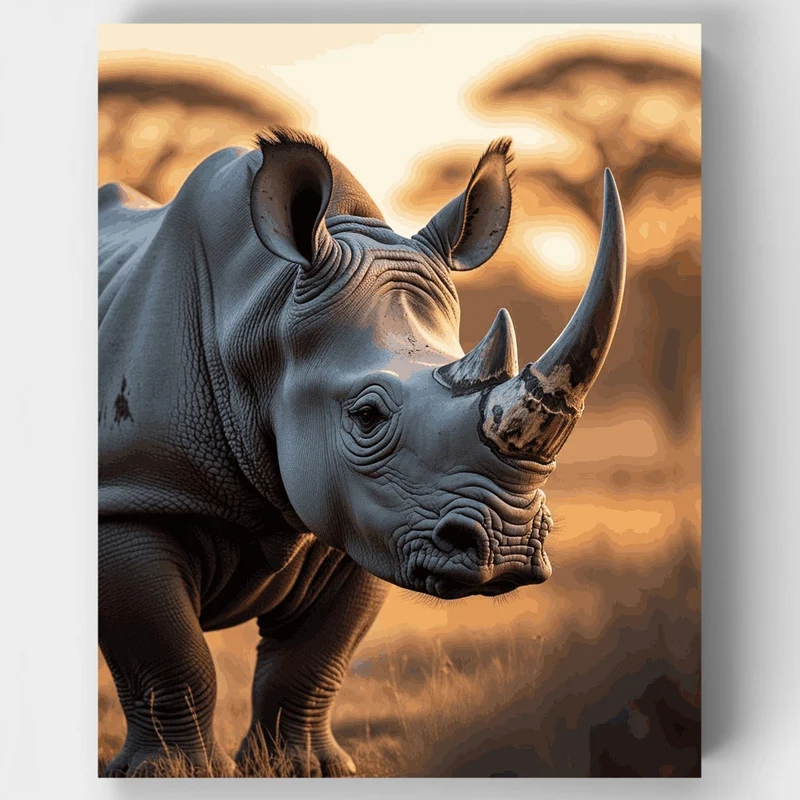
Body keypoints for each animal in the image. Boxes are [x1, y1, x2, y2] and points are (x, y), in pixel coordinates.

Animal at [98, 128, 626, 777]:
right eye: (367, 417)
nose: (507, 549)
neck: (266, 316)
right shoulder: (133, 491)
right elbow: (167, 654)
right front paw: (176, 774)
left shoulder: (373, 517)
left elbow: (315, 658)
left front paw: (305, 771)